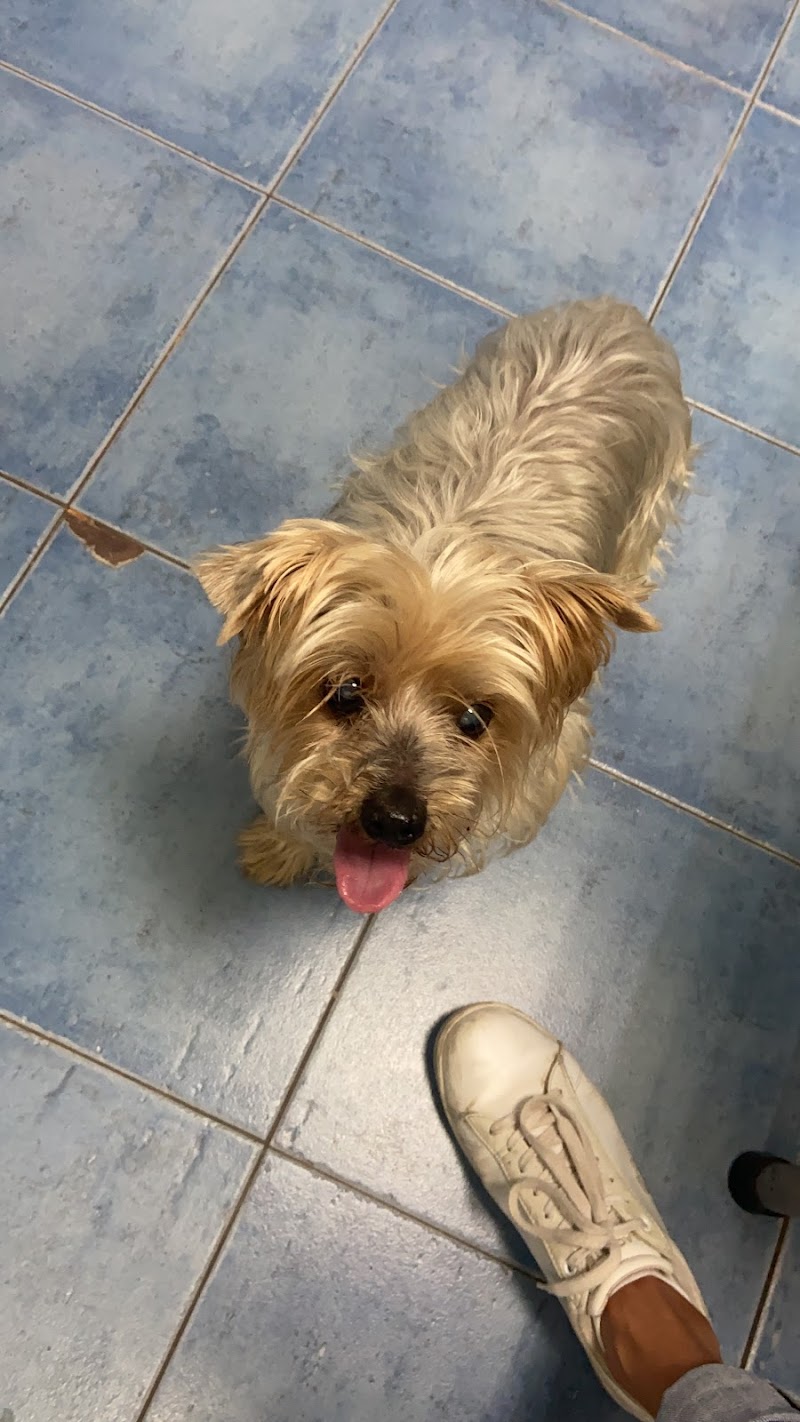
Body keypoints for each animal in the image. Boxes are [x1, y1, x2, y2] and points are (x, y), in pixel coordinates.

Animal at [196, 298, 692, 914]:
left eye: (476, 718)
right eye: (344, 693)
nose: (394, 821)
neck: (439, 543)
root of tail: (618, 312)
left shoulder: (550, 759)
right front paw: (279, 846)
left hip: (653, 501)